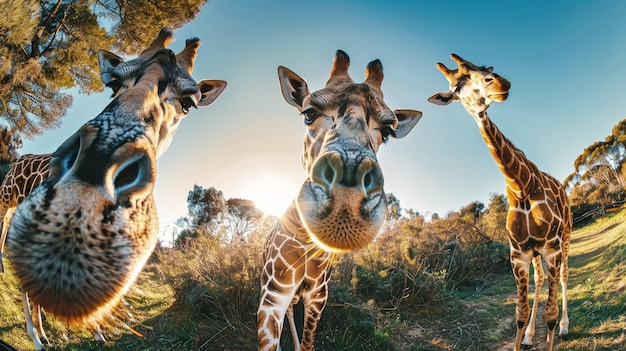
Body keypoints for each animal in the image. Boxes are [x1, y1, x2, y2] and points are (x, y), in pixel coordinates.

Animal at [5, 28, 227, 351]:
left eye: (189, 103)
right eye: (112, 84)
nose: (89, 177)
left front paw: (103, 330)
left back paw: (45, 331)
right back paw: (37, 336)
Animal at [256, 50, 422, 351]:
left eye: (388, 132)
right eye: (309, 113)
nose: (346, 206)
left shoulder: (319, 296)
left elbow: (308, 344)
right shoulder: (272, 294)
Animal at [426, 53, 568, 351]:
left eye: (483, 68)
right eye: (456, 89)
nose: (501, 83)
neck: (522, 184)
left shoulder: (551, 248)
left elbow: (549, 314)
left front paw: (554, 328)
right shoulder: (519, 255)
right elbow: (519, 314)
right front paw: (525, 335)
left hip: (566, 235)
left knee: (563, 276)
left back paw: (564, 327)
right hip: (536, 254)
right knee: (540, 280)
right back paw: (530, 336)